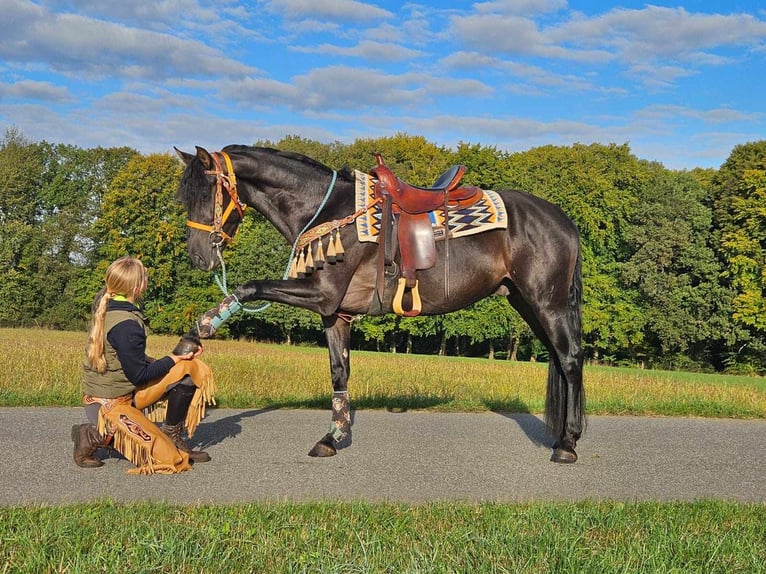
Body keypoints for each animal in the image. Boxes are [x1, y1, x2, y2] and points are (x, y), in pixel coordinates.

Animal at [174, 146, 584, 466]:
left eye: (206, 193)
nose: (197, 257)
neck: (328, 210)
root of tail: (562, 219)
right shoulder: (334, 313)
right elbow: (339, 372)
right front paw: (332, 437)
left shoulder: (321, 293)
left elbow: (248, 288)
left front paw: (194, 336)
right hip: (525, 302)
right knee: (560, 359)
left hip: (547, 302)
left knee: (570, 358)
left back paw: (567, 443)